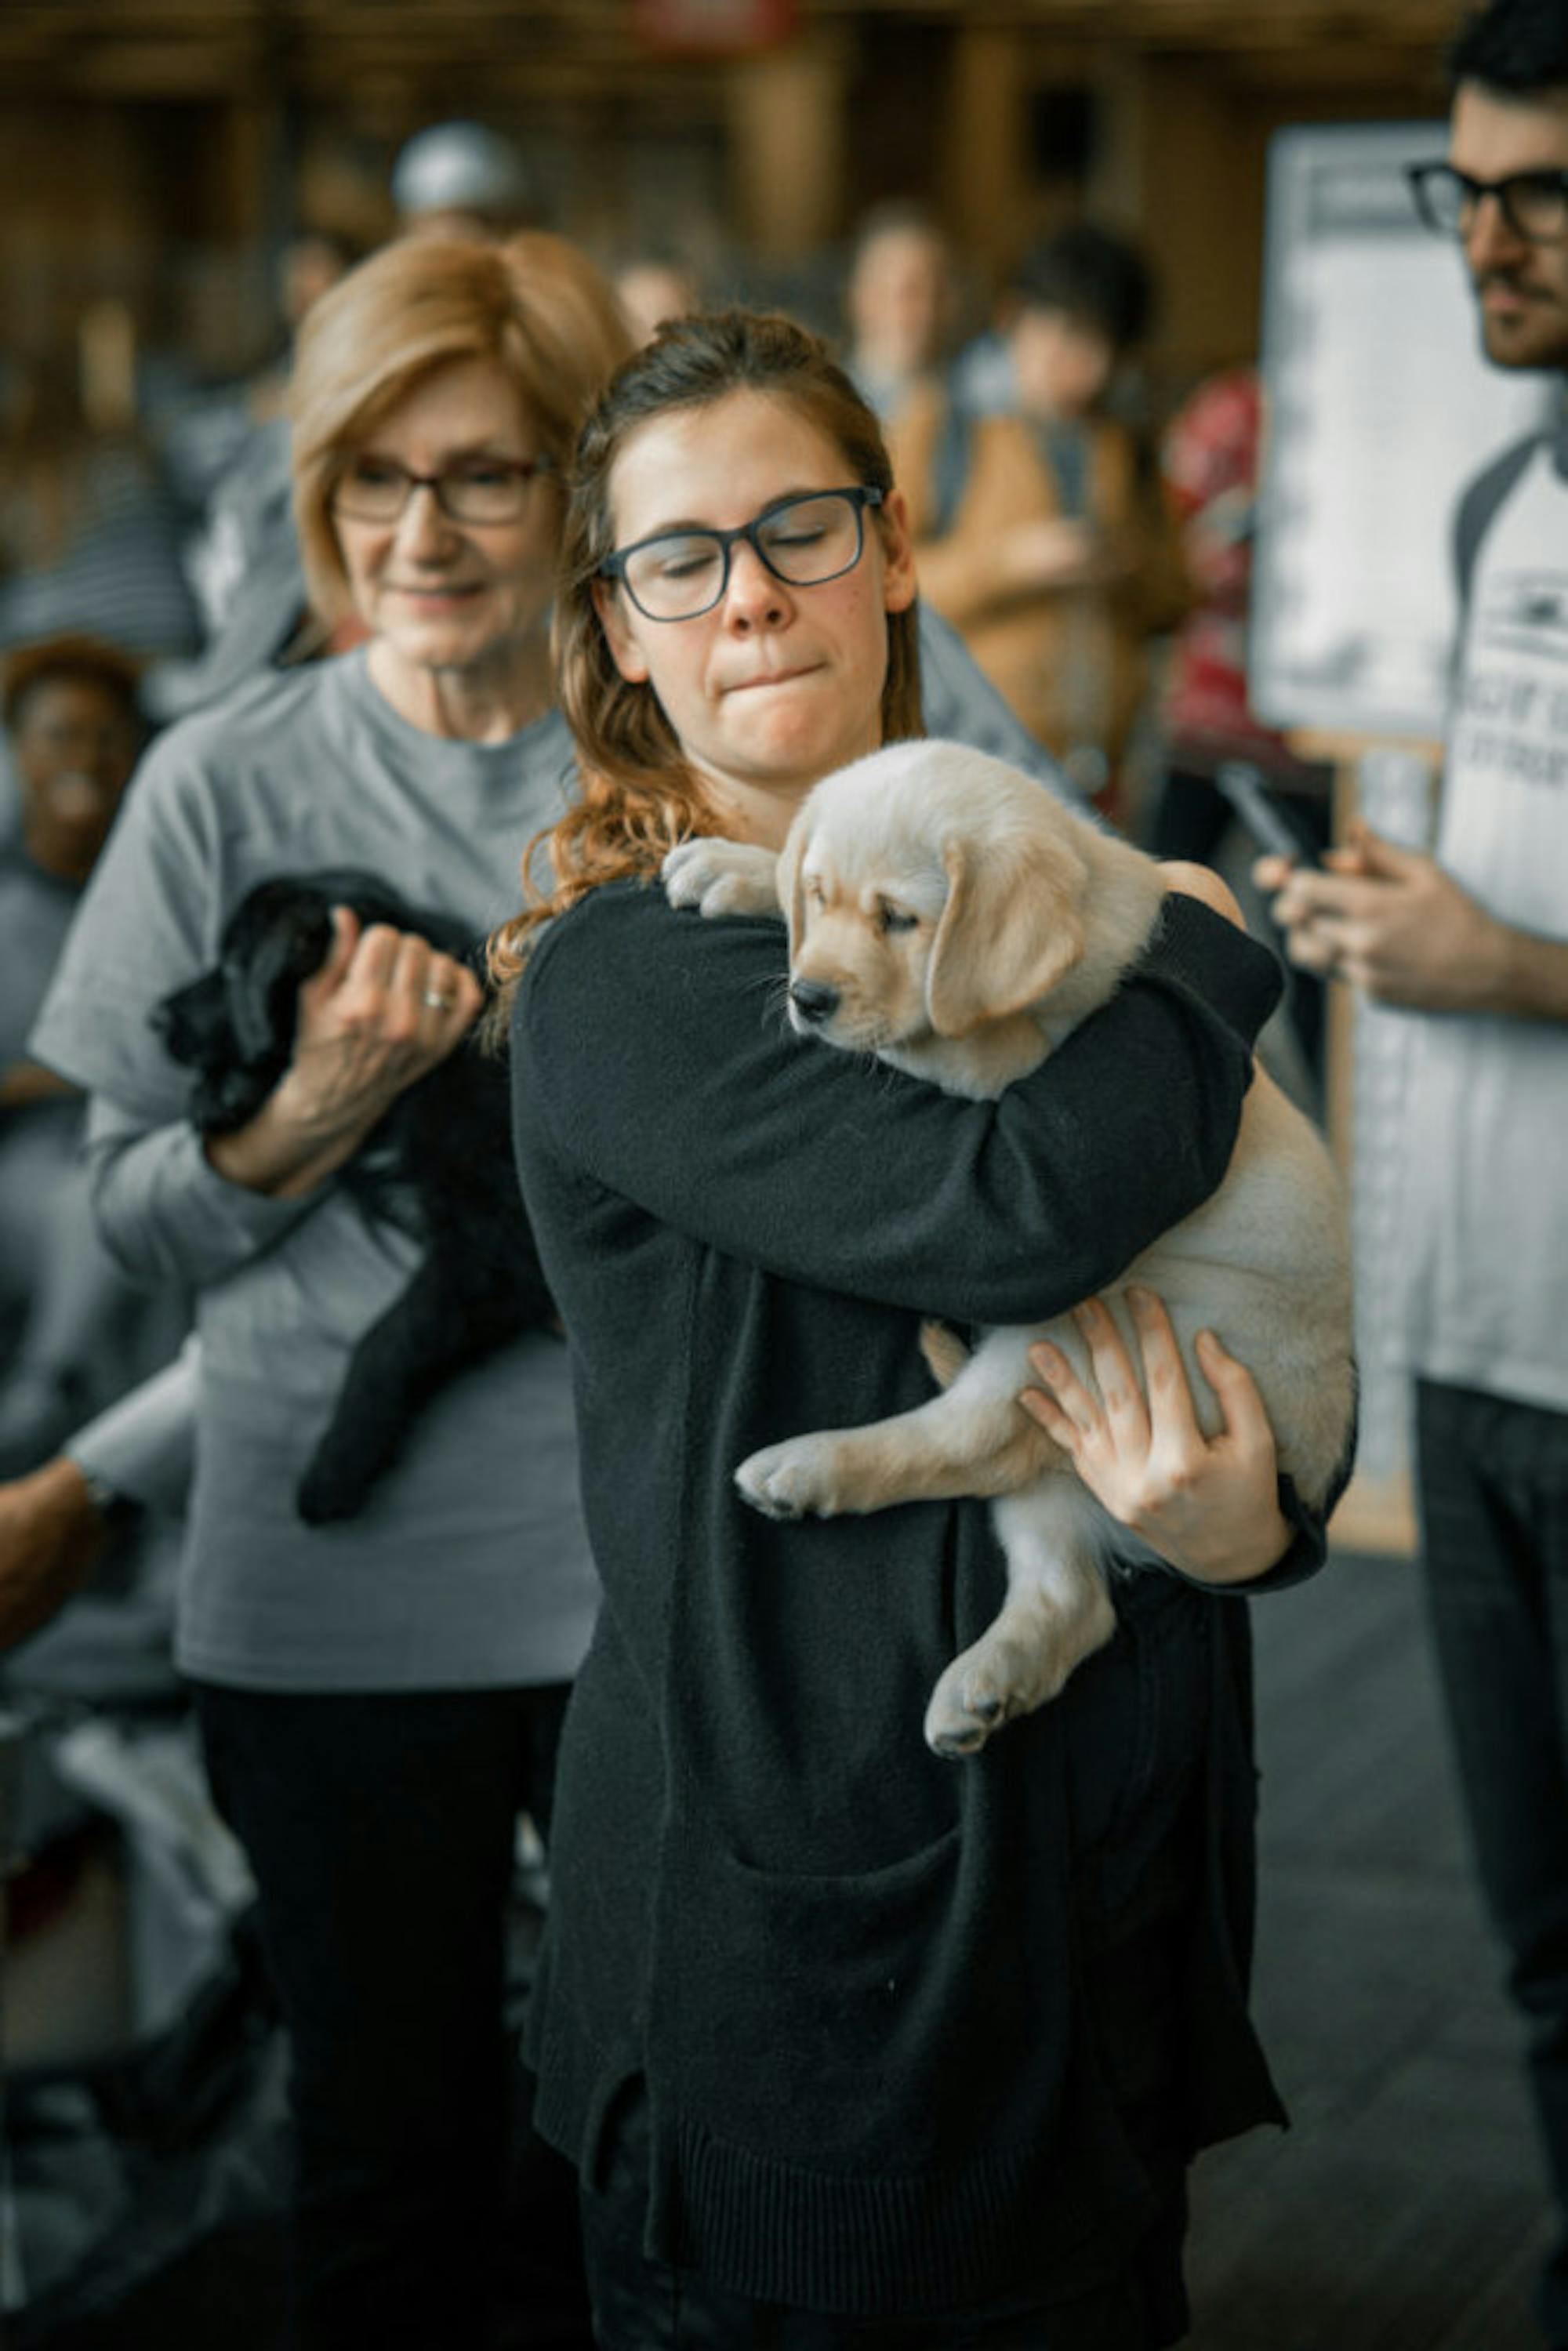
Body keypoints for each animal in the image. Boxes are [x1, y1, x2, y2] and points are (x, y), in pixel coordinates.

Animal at [154, 874, 557, 1533]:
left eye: (235, 966)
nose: (153, 1016)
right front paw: (224, 1091)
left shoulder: (492, 1247)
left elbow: (387, 1339)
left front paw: (334, 1469)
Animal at [662, 742, 1354, 1758]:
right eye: (818, 897)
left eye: (900, 919)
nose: (807, 997)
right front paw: (734, 864)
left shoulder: (1009, 1062)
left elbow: (935, 1029)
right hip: (1057, 1456)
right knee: (1069, 1587)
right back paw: (982, 1688)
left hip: (1090, 1334)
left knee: (963, 1442)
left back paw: (806, 1470)